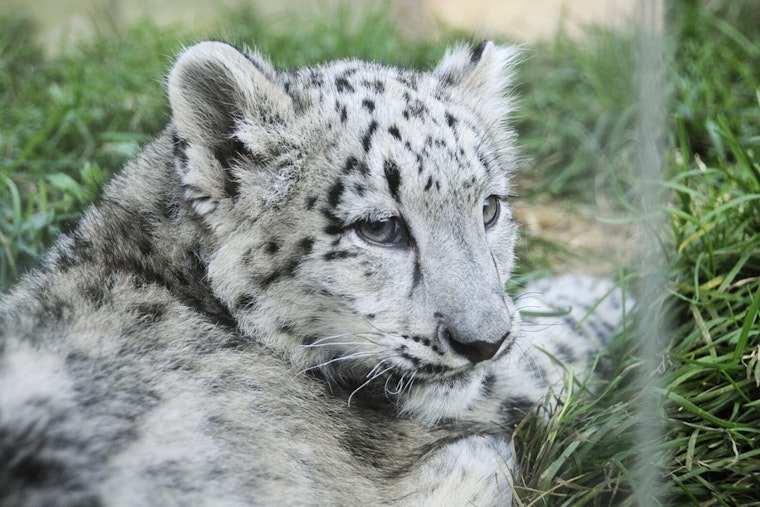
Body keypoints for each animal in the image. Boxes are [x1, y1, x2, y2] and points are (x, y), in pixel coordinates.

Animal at [0, 40, 626, 506]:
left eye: (489, 207)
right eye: (379, 227)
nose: (485, 341)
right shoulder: (485, 400)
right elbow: (548, 355)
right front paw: (605, 293)